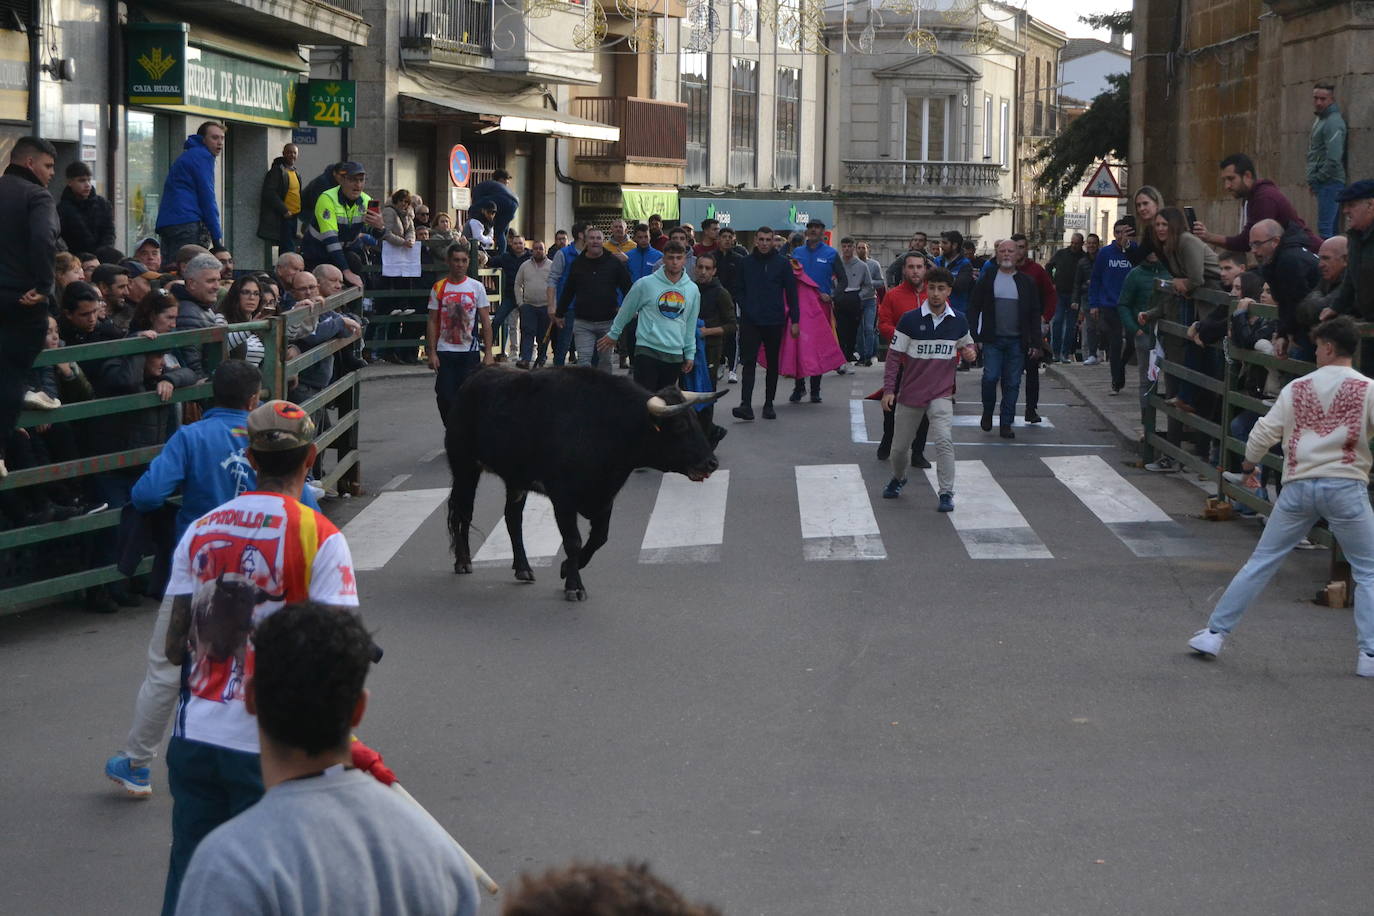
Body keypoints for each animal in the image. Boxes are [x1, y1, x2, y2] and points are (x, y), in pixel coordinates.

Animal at [450, 365, 730, 601]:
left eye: (696, 420)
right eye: (680, 425)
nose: (711, 463)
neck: (607, 425)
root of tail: (473, 378)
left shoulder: (605, 497)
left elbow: (599, 538)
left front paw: (566, 568)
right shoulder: (563, 499)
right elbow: (573, 541)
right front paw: (574, 585)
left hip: (515, 478)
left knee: (512, 518)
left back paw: (523, 568)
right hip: (464, 465)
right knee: (463, 511)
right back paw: (463, 561)